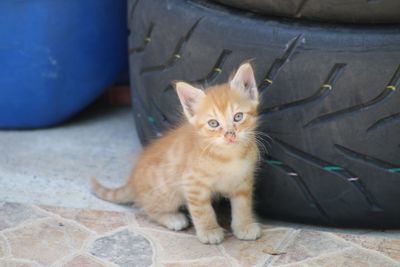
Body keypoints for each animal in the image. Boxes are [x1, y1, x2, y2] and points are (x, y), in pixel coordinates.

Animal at [90, 62, 262, 245]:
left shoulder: (243, 182)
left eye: (238, 117)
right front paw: (209, 231)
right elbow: (203, 211)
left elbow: (243, 207)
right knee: (147, 208)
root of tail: (132, 180)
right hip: (166, 192)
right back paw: (173, 218)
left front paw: (244, 226)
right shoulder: (192, 184)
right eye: (213, 123)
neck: (229, 156)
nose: (230, 135)